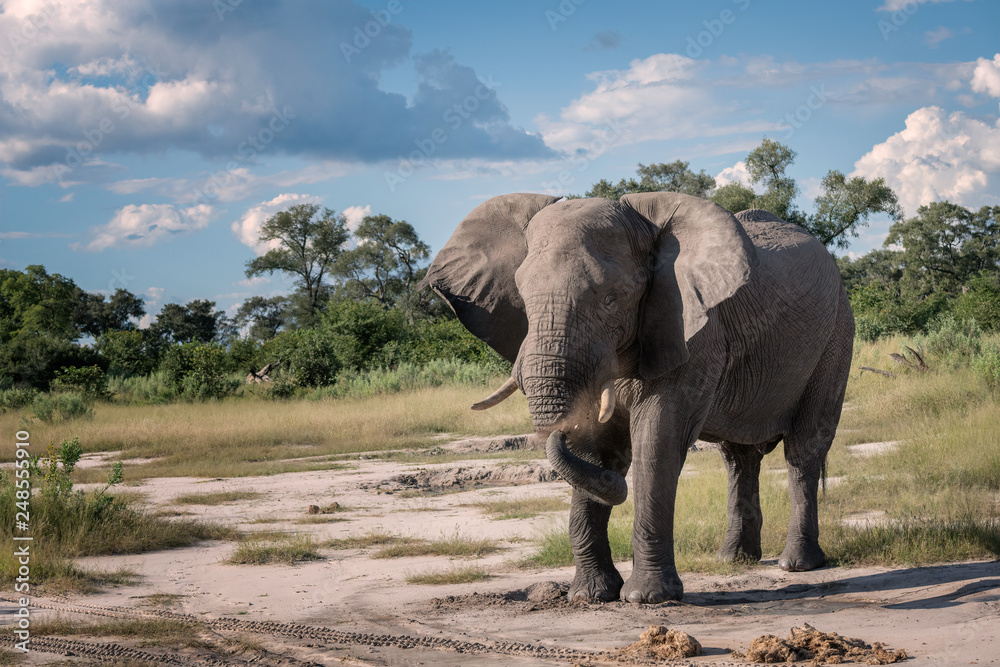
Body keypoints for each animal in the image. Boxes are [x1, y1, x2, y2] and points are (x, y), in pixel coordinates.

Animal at [420, 192, 854, 603]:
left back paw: (797, 564)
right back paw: (733, 559)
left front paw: (647, 598)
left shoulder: (692, 331)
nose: (559, 431)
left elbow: (656, 441)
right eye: (523, 300)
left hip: (836, 333)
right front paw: (590, 596)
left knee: (803, 448)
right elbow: (595, 448)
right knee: (738, 457)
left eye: (611, 300)